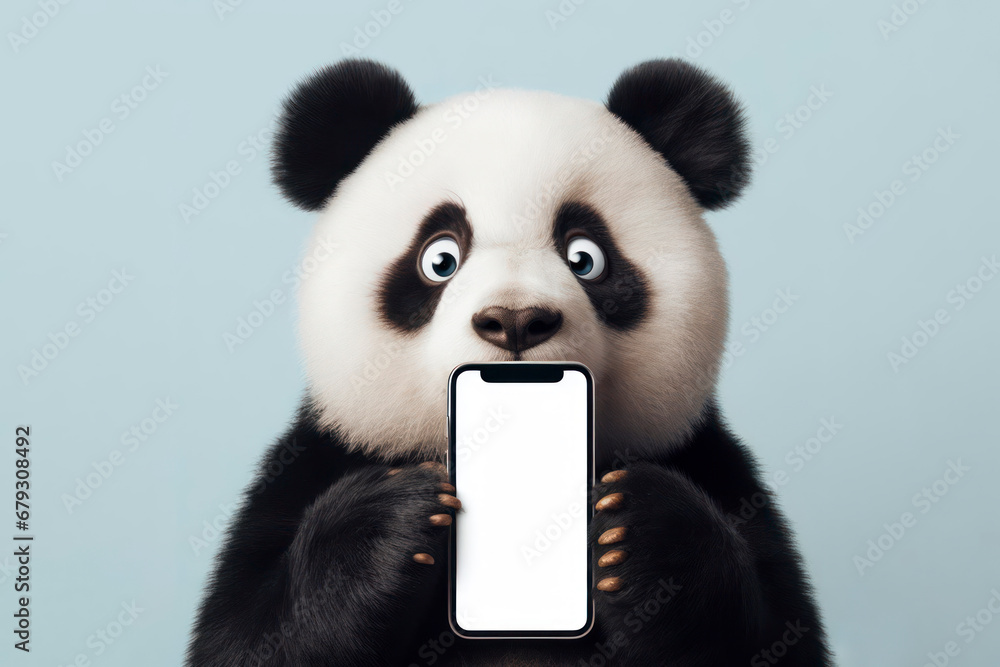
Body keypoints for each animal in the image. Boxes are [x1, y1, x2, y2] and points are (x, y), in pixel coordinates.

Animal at [187, 59, 831, 666]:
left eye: (586, 257)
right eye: (440, 258)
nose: (516, 320)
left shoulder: (709, 463)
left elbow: (774, 635)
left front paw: (643, 531)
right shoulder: (318, 458)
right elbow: (248, 637)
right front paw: (390, 526)